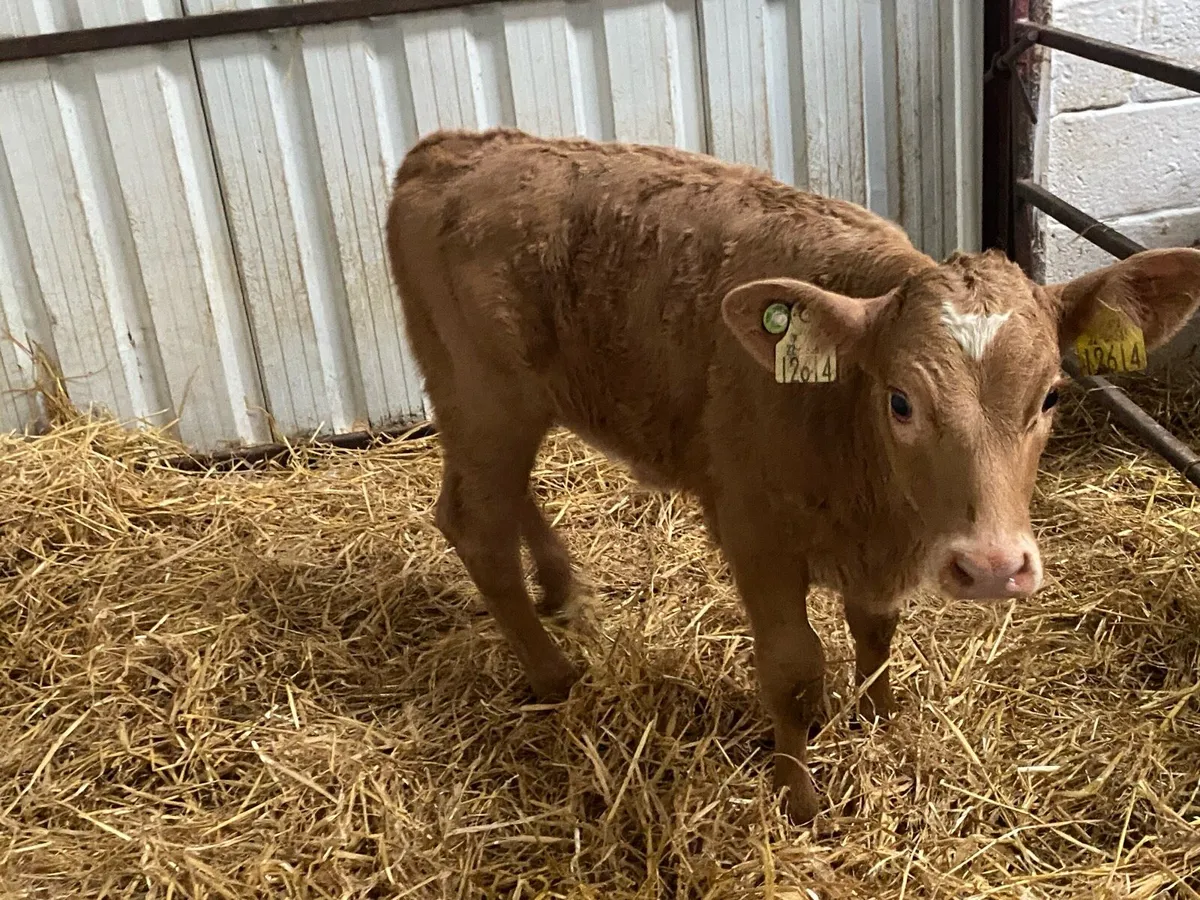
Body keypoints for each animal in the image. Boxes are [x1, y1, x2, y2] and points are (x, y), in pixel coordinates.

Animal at [385, 127, 1200, 823]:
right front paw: (799, 796)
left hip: (515, 406)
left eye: (1051, 396)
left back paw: (560, 591)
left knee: (510, 497)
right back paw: (554, 676)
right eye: (900, 400)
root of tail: (454, 147)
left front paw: (880, 717)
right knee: (475, 524)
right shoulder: (756, 535)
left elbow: (876, 630)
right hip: (483, 396)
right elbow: (794, 669)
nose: (994, 567)